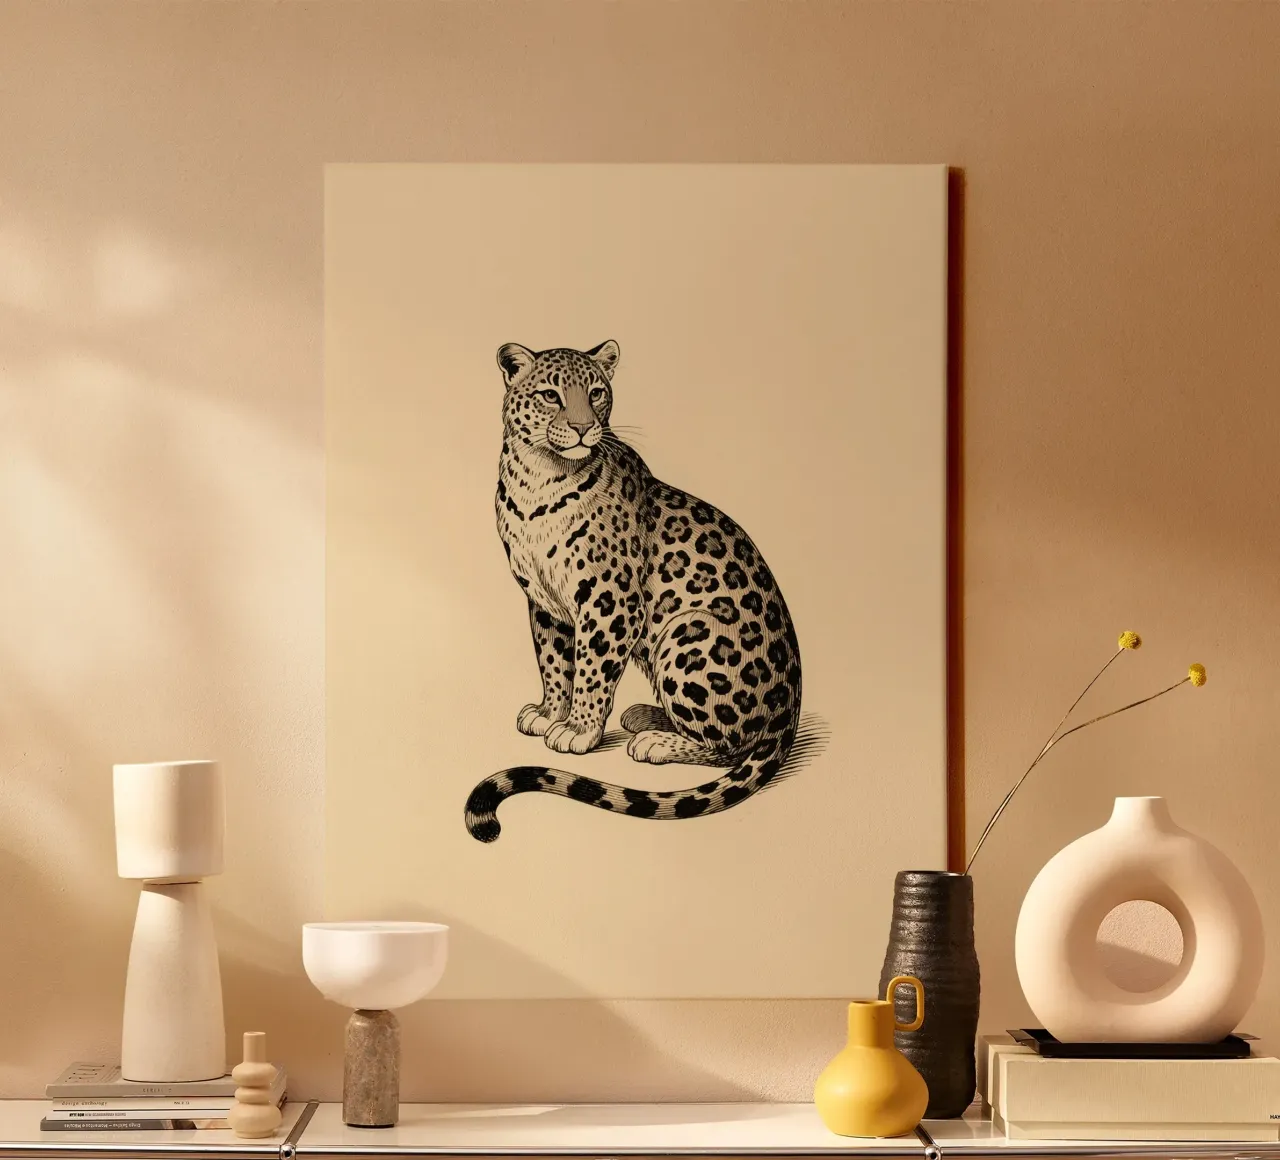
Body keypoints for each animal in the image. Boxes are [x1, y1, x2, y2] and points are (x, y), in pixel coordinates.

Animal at [464, 340, 802, 842]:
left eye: (597, 392)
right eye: (550, 395)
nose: (583, 428)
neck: (538, 478)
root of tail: (790, 711)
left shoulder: (611, 601)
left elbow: (591, 670)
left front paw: (578, 730)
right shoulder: (544, 603)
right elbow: (554, 663)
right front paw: (550, 712)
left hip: (689, 636)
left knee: (729, 746)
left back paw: (655, 741)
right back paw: (645, 715)